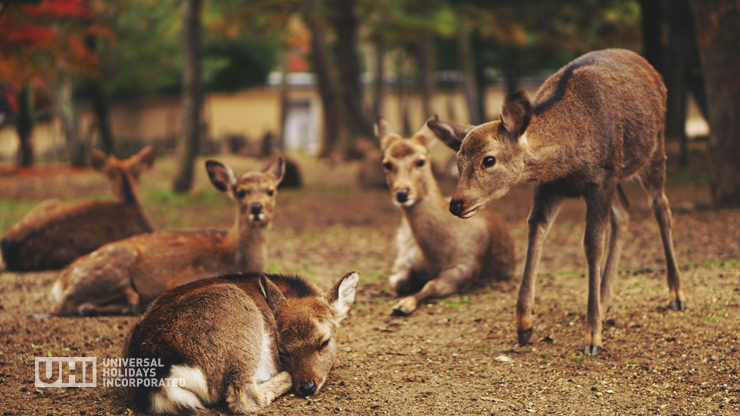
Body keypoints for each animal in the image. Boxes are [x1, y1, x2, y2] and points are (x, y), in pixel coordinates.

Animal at [47, 157, 284, 316]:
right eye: (241, 192)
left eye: (271, 191)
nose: (256, 207)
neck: (232, 255)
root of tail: (60, 281)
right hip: (112, 267)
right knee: (62, 306)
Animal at [376, 117, 516, 316]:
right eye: (386, 163)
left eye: (421, 161)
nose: (402, 193)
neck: (434, 257)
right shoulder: (405, 257)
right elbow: (397, 281)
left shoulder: (467, 266)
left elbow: (431, 285)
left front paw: (403, 305)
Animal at [428, 48, 688, 354]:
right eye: (458, 161)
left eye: (488, 160)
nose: (457, 203)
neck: (567, 161)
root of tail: (649, 67)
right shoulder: (551, 186)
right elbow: (535, 230)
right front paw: (524, 325)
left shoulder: (601, 178)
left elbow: (592, 245)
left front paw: (592, 337)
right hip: (619, 177)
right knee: (624, 212)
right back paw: (604, 299)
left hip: (653, 151)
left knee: (661, 207)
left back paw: (676, 295)